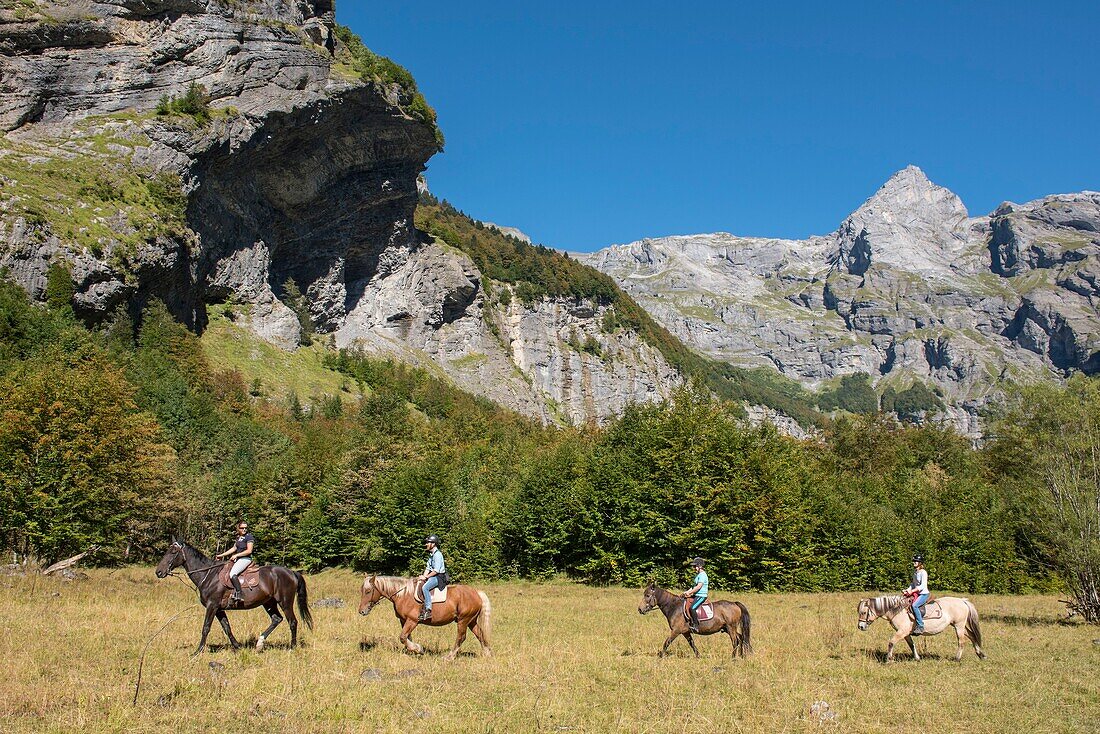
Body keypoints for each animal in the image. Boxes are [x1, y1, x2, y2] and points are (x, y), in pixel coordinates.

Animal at [154, 534, 314, 655]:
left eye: (173, 552)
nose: (159, 572)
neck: (208, 575)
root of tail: (291, 572)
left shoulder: (212, 606)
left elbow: (206, 627)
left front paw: (197, 651)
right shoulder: (219, 609)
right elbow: (227, 628)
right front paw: (237, 647)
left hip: (285, 602)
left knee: (292, 622)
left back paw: (292, 648)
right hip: (268, 602)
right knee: (276, 619)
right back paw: (259, 643)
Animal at [358, 572, 492, 660]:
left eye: (368, 591)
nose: (361, 611)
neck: (403, 594)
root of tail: (476, 593)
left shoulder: (412, 621)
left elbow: (402, 637)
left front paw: (418, 649)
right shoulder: (403, 620)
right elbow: (407, 637)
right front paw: (411, 651)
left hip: (463, 620)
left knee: (461, 637)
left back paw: (450, 656)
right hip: (471, 621)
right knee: (480, 634)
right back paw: (487, 654)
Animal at [858, 594, 990, 664]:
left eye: (863, 612)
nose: (860, 626)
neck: (897, 610)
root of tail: (963, 600)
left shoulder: (901, 632)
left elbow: (891, 643)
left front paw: (888, 660)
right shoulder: (906, 633)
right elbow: (912, 645)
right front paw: (917, 658)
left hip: (959, 626)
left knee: (961, 642)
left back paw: (957, 658)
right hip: (959, 625)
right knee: (972, 636)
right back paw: (981, 655)